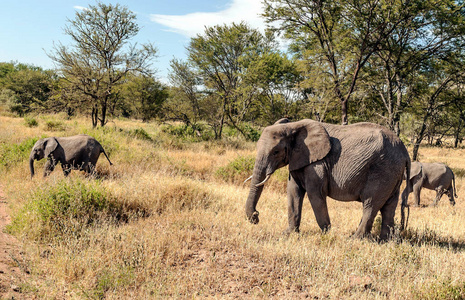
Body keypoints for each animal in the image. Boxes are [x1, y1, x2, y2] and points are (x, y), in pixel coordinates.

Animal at [243, 118, 410, 240]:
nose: (256, 216)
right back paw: (384, 241)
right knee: (389, 206)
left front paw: (326, 234)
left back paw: (354, 239)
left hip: (383, 170)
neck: (292, 126)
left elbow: (315, 194)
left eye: (276, 152)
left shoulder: (317, 164)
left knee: (370, 204)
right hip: (393, 173)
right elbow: (293, 193)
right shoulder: (298, 159)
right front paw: (288, 234)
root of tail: (404, 151)